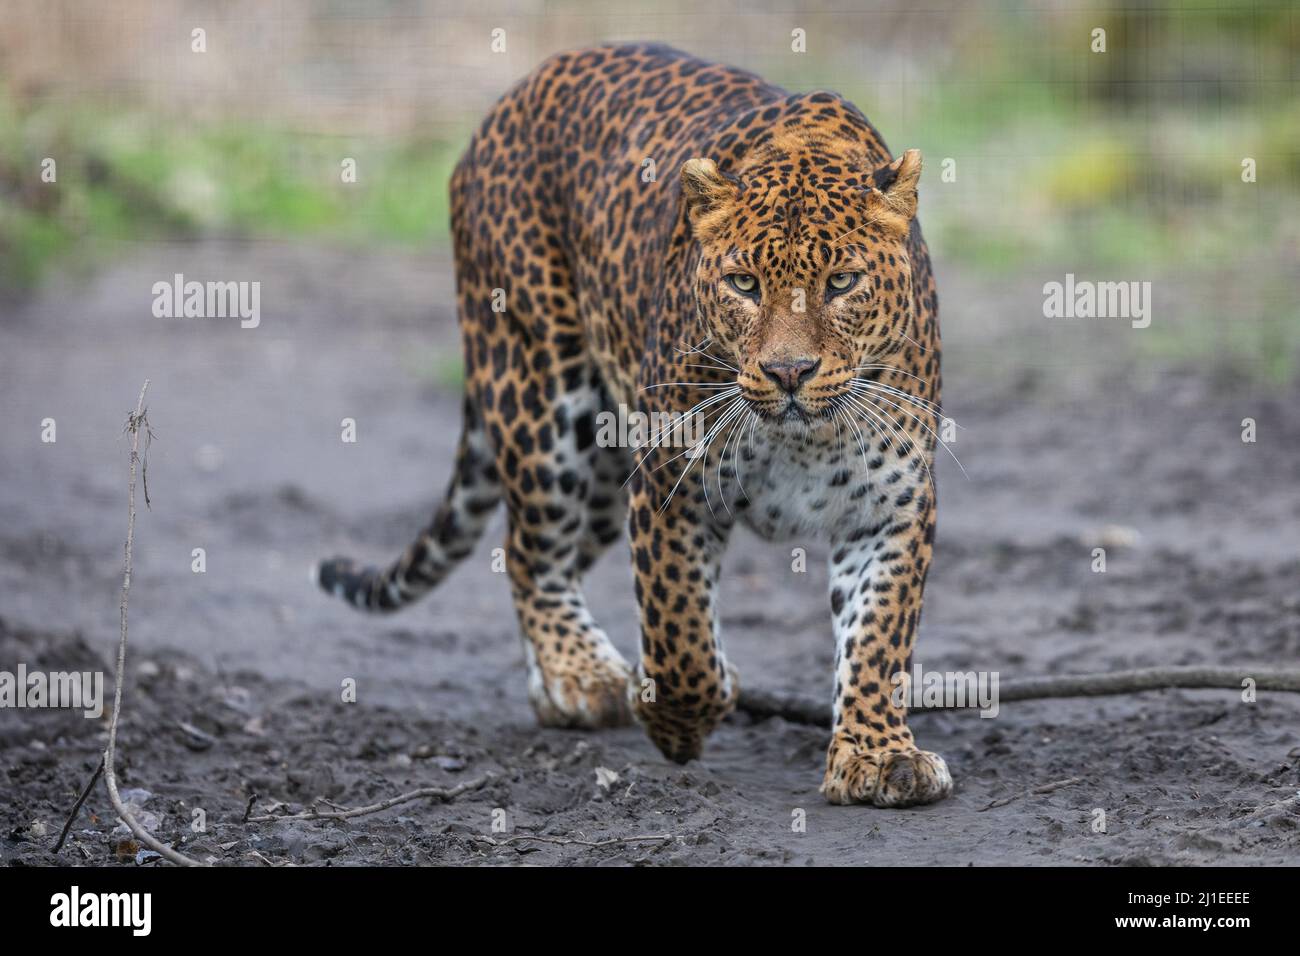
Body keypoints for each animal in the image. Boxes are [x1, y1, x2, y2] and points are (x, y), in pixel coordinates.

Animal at [316, 43, 951, 808]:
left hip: (602, 463)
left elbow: (879, 637)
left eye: (842, 283)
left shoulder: (890, 504)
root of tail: (515, 94)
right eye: (743, 284)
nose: (789, 371)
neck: (805, 433)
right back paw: (580, 677)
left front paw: (879, 756)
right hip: (542, 397)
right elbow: (679, 633)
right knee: (528, 550)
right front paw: (677, 719)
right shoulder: (672, 483)